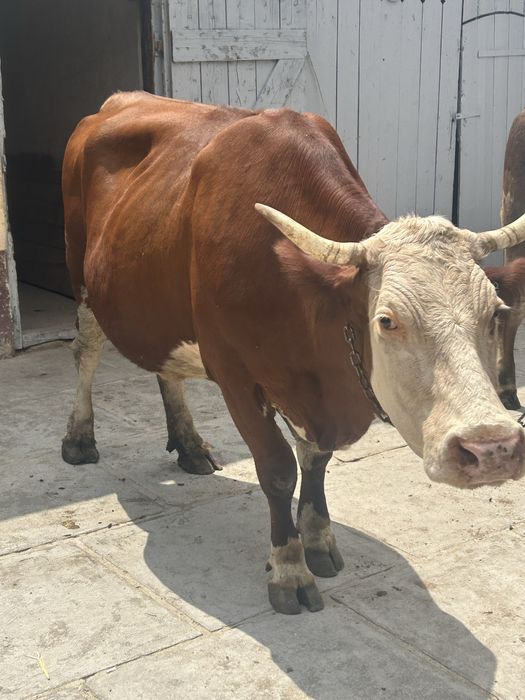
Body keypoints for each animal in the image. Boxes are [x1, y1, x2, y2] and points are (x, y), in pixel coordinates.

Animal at [62, 91, 525, 615]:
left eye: (495, 311)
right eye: (386, 321)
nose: (492, 447)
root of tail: (119, 100)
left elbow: (315, 461)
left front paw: (318, 539)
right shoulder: (237, 377)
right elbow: (278, 470)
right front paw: (288, 566)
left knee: (168, 368)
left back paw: (189, 444)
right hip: (82, 279)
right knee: (86, 354)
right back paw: (79, 438)